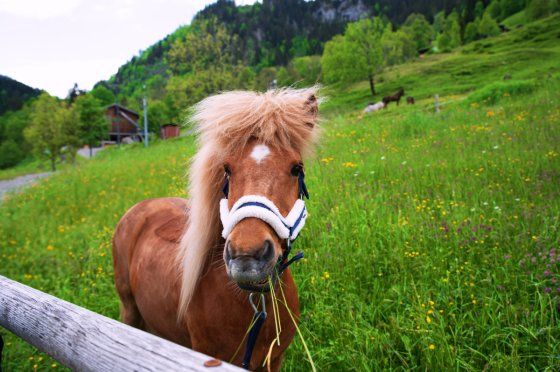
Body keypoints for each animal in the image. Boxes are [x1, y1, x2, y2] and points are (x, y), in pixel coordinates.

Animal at [112, 87, 322, 370]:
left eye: (296, 168)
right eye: (227, 169)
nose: (247, 256)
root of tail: (140, 206)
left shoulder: (274, 360)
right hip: (129, 311)